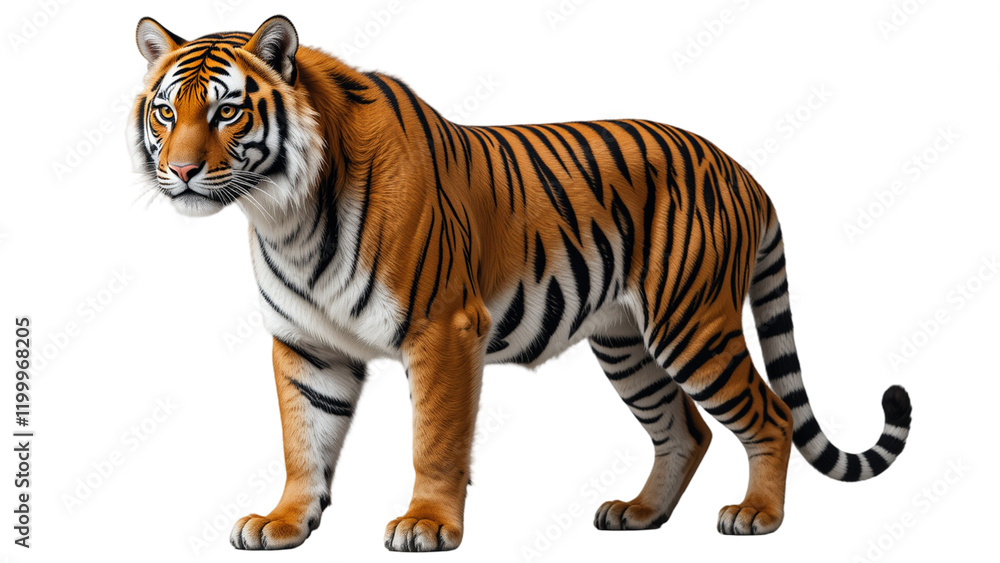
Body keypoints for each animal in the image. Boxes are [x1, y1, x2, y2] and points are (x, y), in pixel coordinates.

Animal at [128, 15, 912, 552]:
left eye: (227, 110)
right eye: (166, 110)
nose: (182, 170)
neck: (283, 213)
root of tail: (741, 168)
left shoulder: (442, 330)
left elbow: (435, 439)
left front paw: (426, 525)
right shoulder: (306, 345)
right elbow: (304, 439)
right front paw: (285, 522)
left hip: (692, 326)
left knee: (771, 413)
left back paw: (757, 517)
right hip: (626, 344)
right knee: (684, 428)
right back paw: (640, 514)